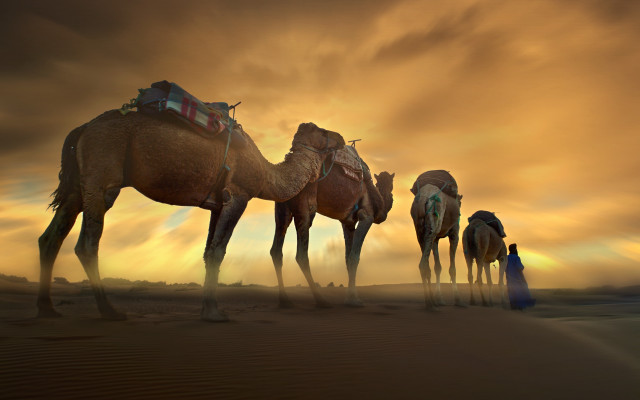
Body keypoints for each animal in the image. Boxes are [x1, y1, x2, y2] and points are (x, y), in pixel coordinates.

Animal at [37, 110, 345, 321]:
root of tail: (83, 128)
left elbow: (208, 251)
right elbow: (219, 251)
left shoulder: (217, 204)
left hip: (79, 186)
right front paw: (215, 313)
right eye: (322, 130)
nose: (341, 138)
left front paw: (206, 310)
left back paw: (48, 309)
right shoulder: (239, 195)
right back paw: (110, 311)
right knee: (87, 243)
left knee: (50, 237)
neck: (267, 172)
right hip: (102, 171)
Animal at [269, 146, 394, 307]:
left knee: (276, 250)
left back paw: (284, 300)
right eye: (391, 184)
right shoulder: (366, 216)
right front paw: (353, 300)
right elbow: (354, 257)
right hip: (304, 204)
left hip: (282, 206)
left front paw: (350, 297)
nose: (391, 194)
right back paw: (320, 300)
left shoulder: (348, 223)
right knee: (301, 254)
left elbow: (347, 258)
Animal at [410, 170, 463, 309]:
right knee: (423, 264)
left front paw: (439, 299)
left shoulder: (436, 239)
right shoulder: (455, 233)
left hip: (419, 228)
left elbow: (437, 267)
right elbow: (452, 269)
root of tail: (423, 197)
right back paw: (430, 304)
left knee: (426, 263)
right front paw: (458, 300)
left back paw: (431, 301)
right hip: (434, 219)